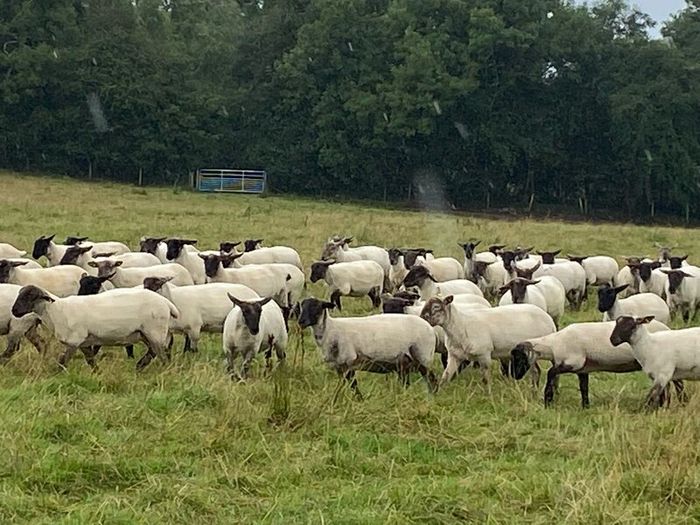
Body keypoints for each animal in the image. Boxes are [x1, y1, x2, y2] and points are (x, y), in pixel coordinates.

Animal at [11, 285, 178, 371]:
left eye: (31, 296)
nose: (14, 311)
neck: (56, 311)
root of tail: (167, 303)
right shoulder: (83, 342)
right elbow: (90, 359)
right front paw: (97, 372)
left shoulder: (74, 341)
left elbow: (63, 361)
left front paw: (57, 374)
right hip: (144, 333)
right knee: (153, 351)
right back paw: (139, 366)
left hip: (154, 331)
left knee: (160, 353)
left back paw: (164, 369)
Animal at [297, 297, 437, 398]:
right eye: (301, 306)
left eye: (316, 307)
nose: (301, 322)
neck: (330, 330)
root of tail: (430, 328)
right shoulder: (339, 366)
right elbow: (343, 386)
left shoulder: (349, 361)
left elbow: (353, 385)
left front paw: (359, 400)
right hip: (405, 361)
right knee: (406, 383)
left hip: (423, 356)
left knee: (432, 379)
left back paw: (432, 397)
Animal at [419, 296, 556, 387]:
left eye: (436, 307)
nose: (421, 318)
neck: (461, 325)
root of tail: (549, 319)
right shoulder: (454, 356)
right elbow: (446, 376)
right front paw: (439, 392)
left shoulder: (483, 355)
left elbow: (485, 380)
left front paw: (488, 396)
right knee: (536, 372)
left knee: (538, 372)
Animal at [510, 319, 677, 408]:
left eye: (518, 358)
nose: (514, 376)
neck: (554, 344)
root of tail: (667, 327)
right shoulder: (583, 369)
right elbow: (584, 387)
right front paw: (586, 406)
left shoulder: (574, 362)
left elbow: (551, 372)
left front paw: (548, 400)